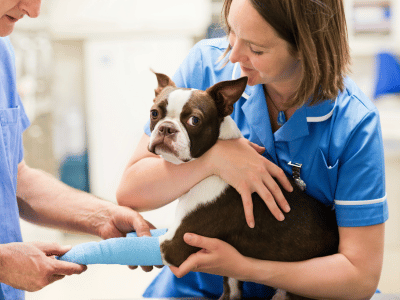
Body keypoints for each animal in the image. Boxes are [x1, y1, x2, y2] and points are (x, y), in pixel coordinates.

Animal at [148, 72, 340, 300]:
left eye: (194, 120)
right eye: (154, 113)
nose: (166, 128)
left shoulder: (175, 245)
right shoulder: (230, 276)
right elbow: (231, 289)